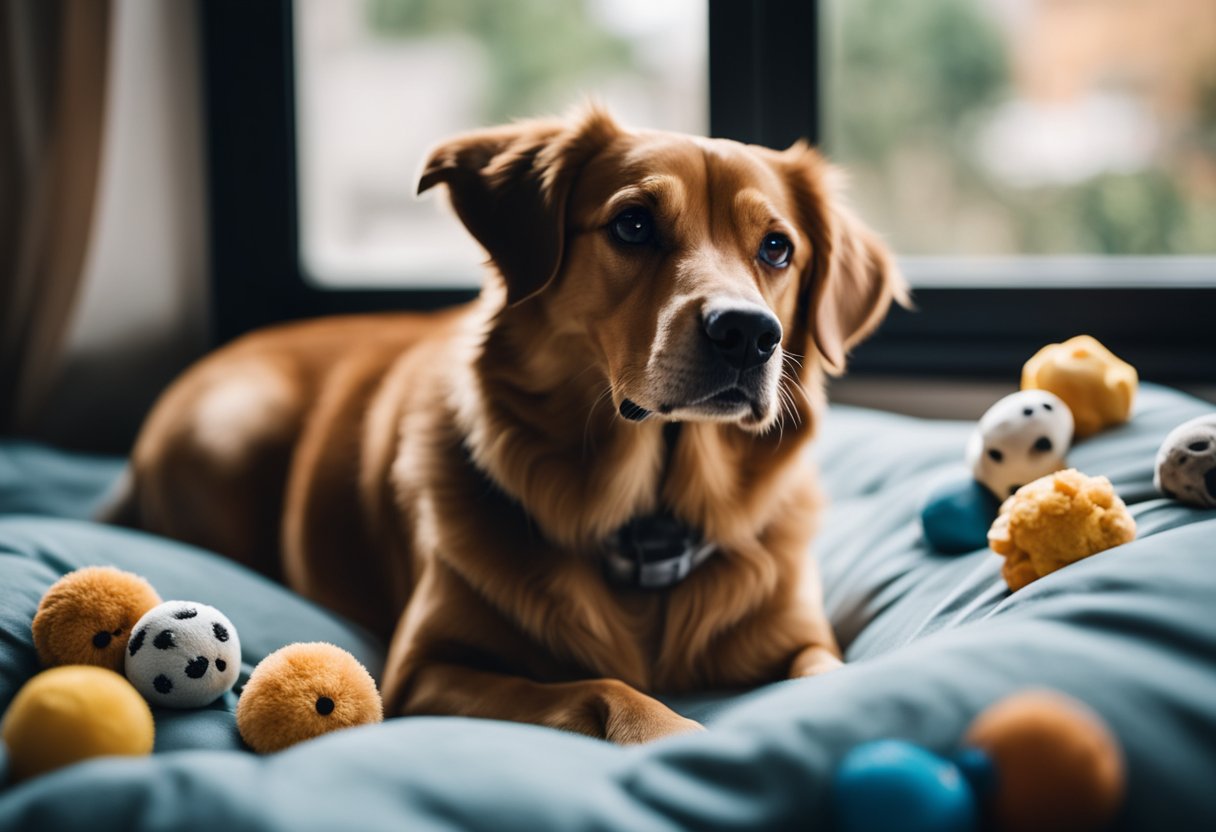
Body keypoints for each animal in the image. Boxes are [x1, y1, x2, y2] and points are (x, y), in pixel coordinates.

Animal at [120, 108, 904, 739]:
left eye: (777, 248)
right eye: (634, 225)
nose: (747, 334)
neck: (647, 520)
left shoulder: (803, 637)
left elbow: (829, 672)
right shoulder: (424, 670)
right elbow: (600, 685)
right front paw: (672, 732)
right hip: (235, 428)